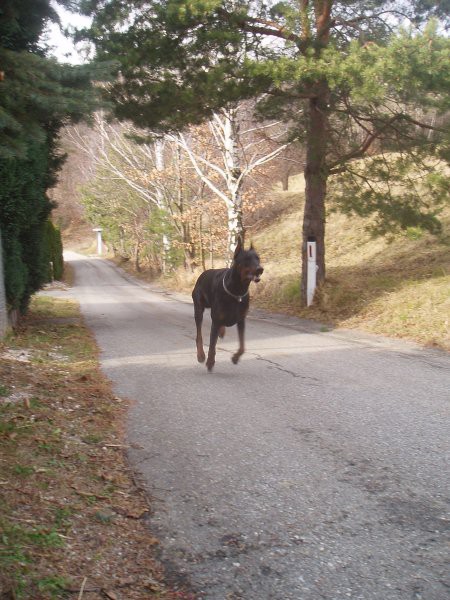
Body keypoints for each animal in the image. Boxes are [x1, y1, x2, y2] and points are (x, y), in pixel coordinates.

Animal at [191, 238, 262, 370]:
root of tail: (201, 275)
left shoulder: (241, 320)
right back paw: (201, 355)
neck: (237, 291)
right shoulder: (215, 321)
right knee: (199, 335)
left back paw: (222, 331)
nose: (260, 269)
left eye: (258, 258)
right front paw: (210, 362)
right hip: (198, 308)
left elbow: (242, 346)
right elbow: (212, 345)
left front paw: (235, 358)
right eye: (246, 259)